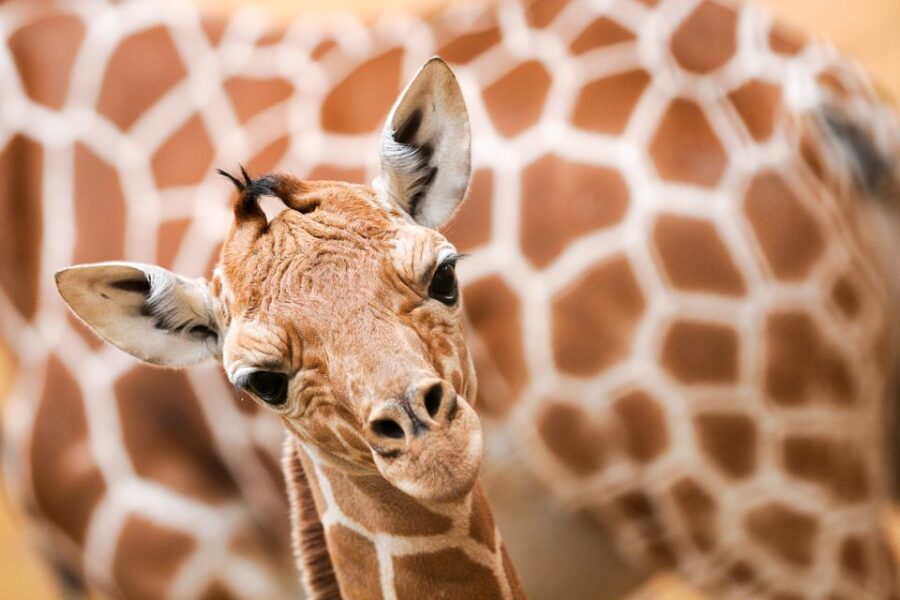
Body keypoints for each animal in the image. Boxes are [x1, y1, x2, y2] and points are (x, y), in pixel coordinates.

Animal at [1, 0, 899, 598]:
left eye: (445, 274)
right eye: (258, 381)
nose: (427, 436)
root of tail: (817, 108)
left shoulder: (172, 551)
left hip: (759, 503)